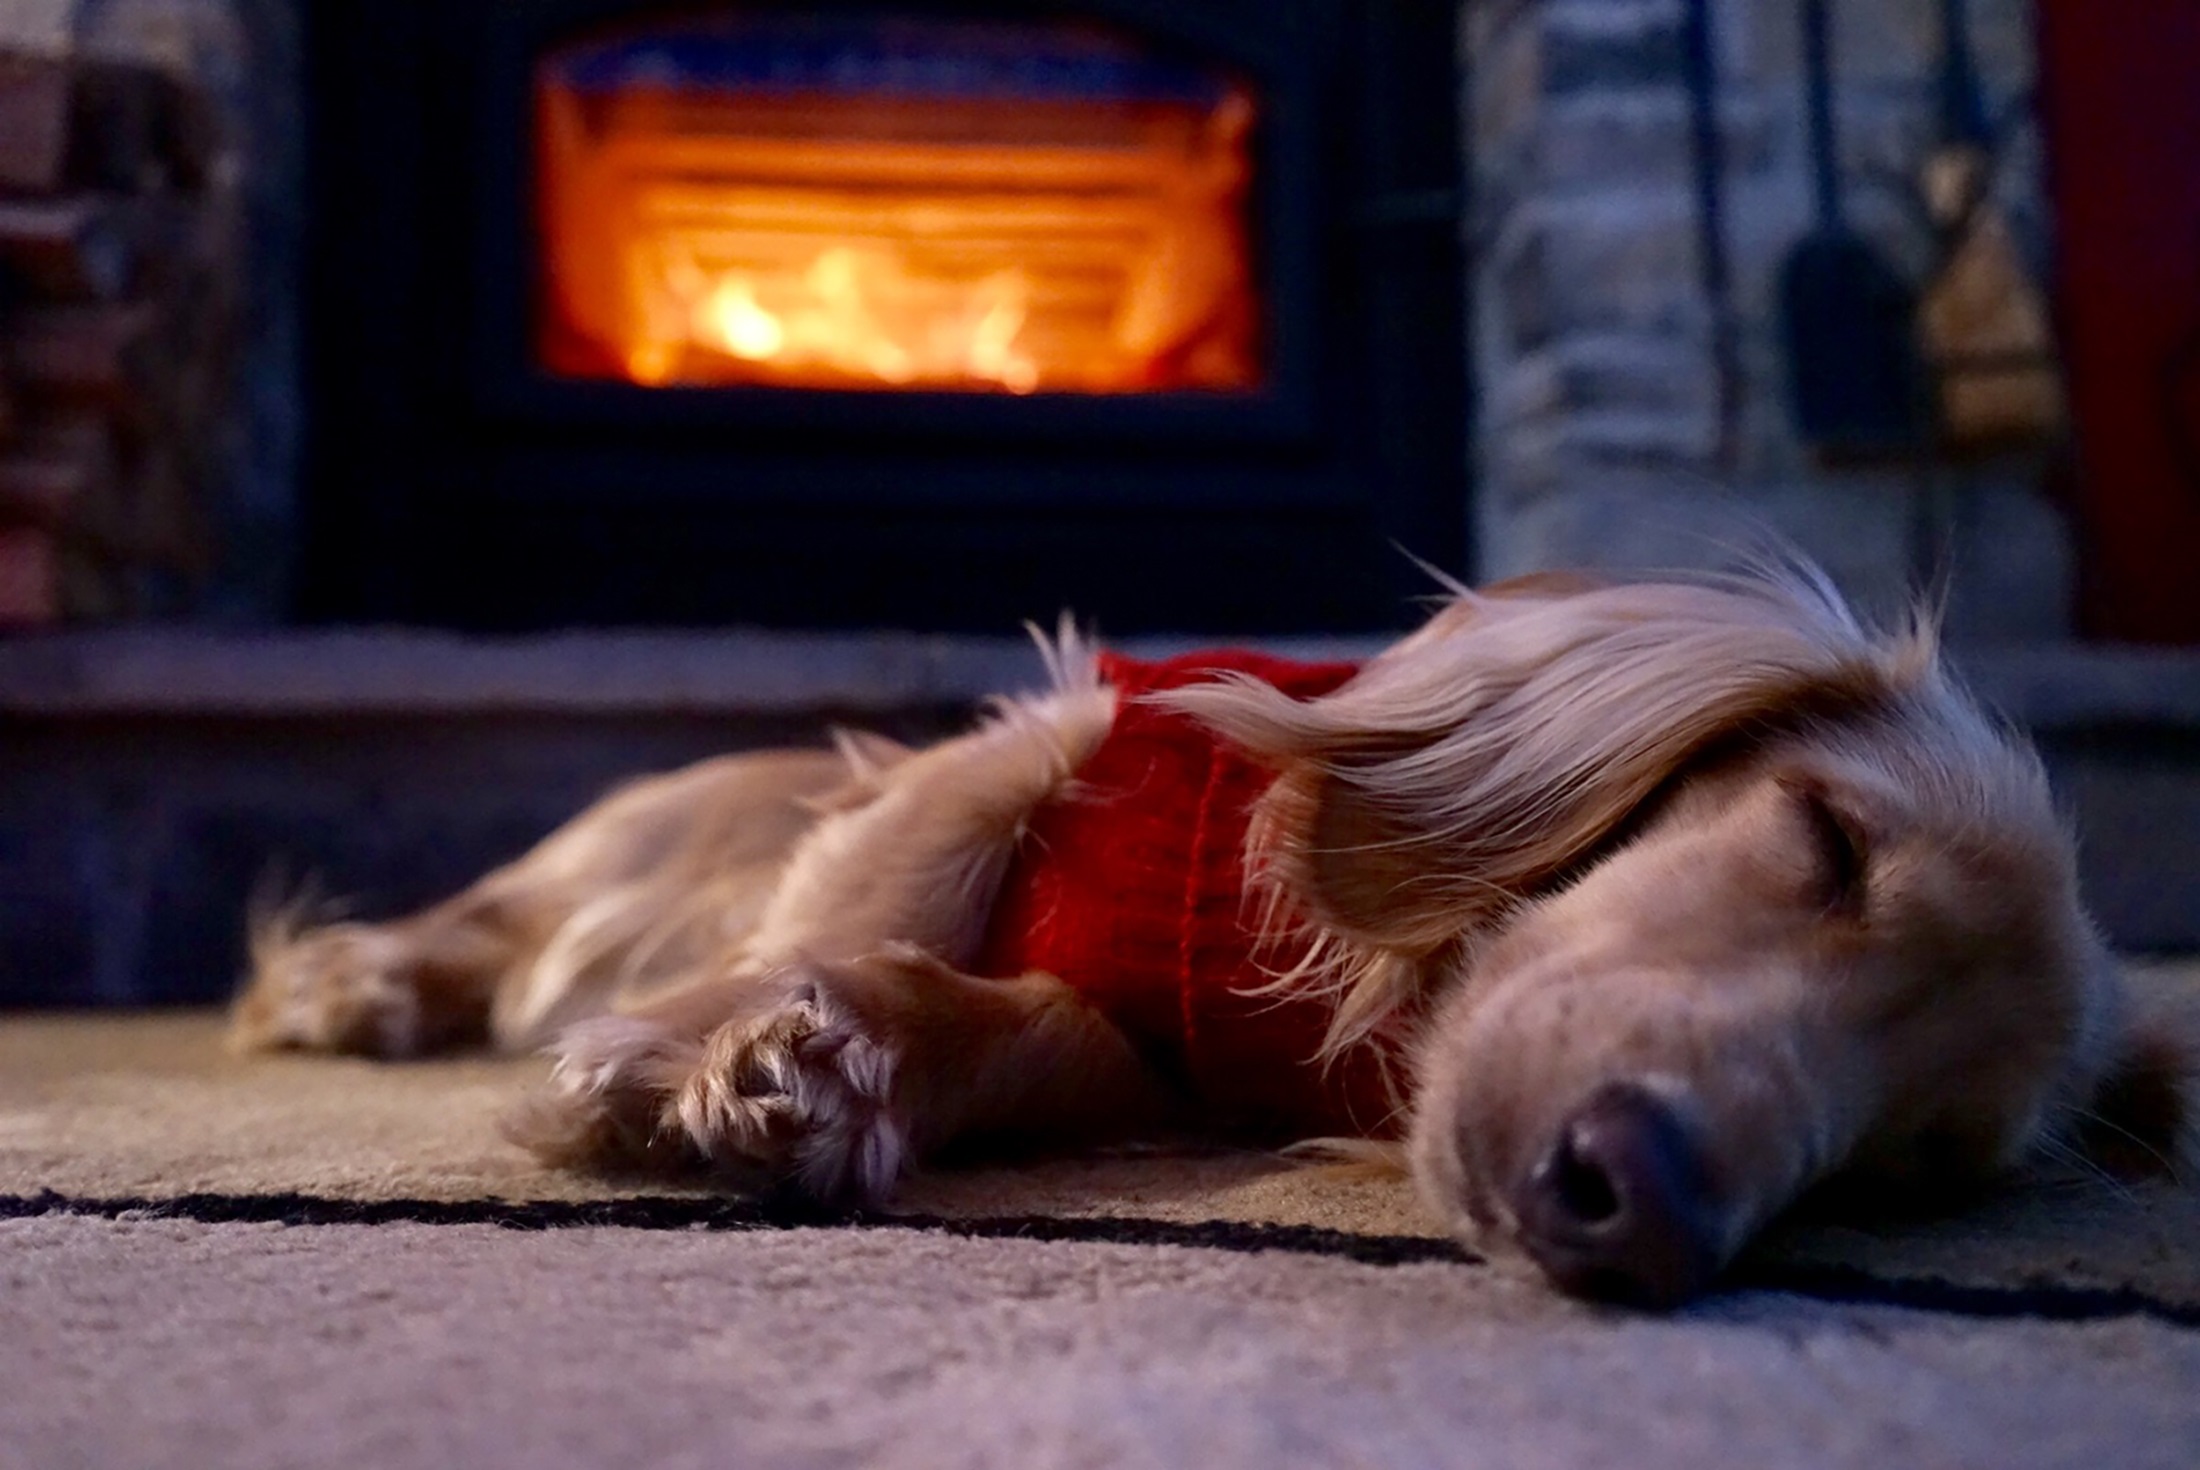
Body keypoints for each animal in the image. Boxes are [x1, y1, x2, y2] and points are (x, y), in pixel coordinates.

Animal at [232, 567, 2191, 1302]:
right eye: (1826, 843)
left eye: (1919, 1163)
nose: (1647, 1206)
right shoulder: (1055, 740)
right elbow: (898, 890)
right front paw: (724, 1041)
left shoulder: (1142, 1053)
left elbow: (1025, 1020)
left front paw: (843, 1063)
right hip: (625, 841)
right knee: (494, 917)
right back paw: (366, 979)